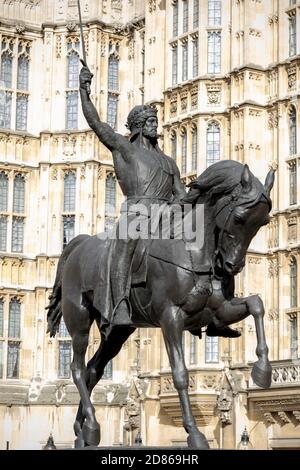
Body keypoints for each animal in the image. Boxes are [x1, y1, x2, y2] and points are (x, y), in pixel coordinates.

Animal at [46, 161, 274, 448]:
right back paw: (93, 426)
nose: (233, 265)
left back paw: (82, 429)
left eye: (263, 222)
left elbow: (257, 305)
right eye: (240, 218)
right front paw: (194, 432)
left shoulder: (219, 311)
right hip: (79, 319)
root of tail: (77, 244)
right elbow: (180, 374)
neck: (193, 251)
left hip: (118, 330)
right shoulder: (170, 316)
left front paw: (262, 371)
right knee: (77, 368)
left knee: (92, 370)